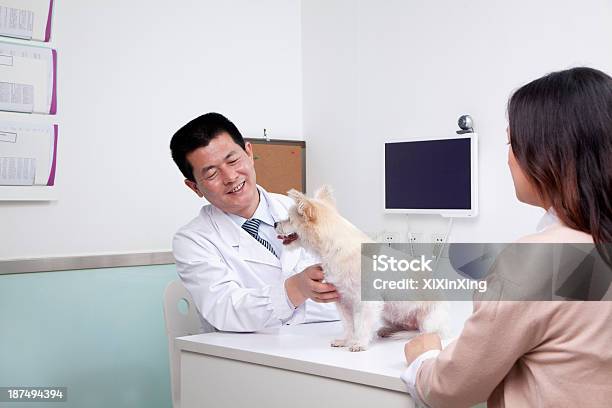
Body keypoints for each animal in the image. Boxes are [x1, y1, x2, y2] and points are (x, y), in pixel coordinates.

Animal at [278, 186, 450, 352]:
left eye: (289, 219)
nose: (274, 224)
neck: (337, 249)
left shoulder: (368, 302)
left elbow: (362, 325)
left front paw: (359, 343)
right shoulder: (342, 300)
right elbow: (348, 324)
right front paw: (346, 340)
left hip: (428, 319)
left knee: (427, 332)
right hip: (388, 312)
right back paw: (388, 330)